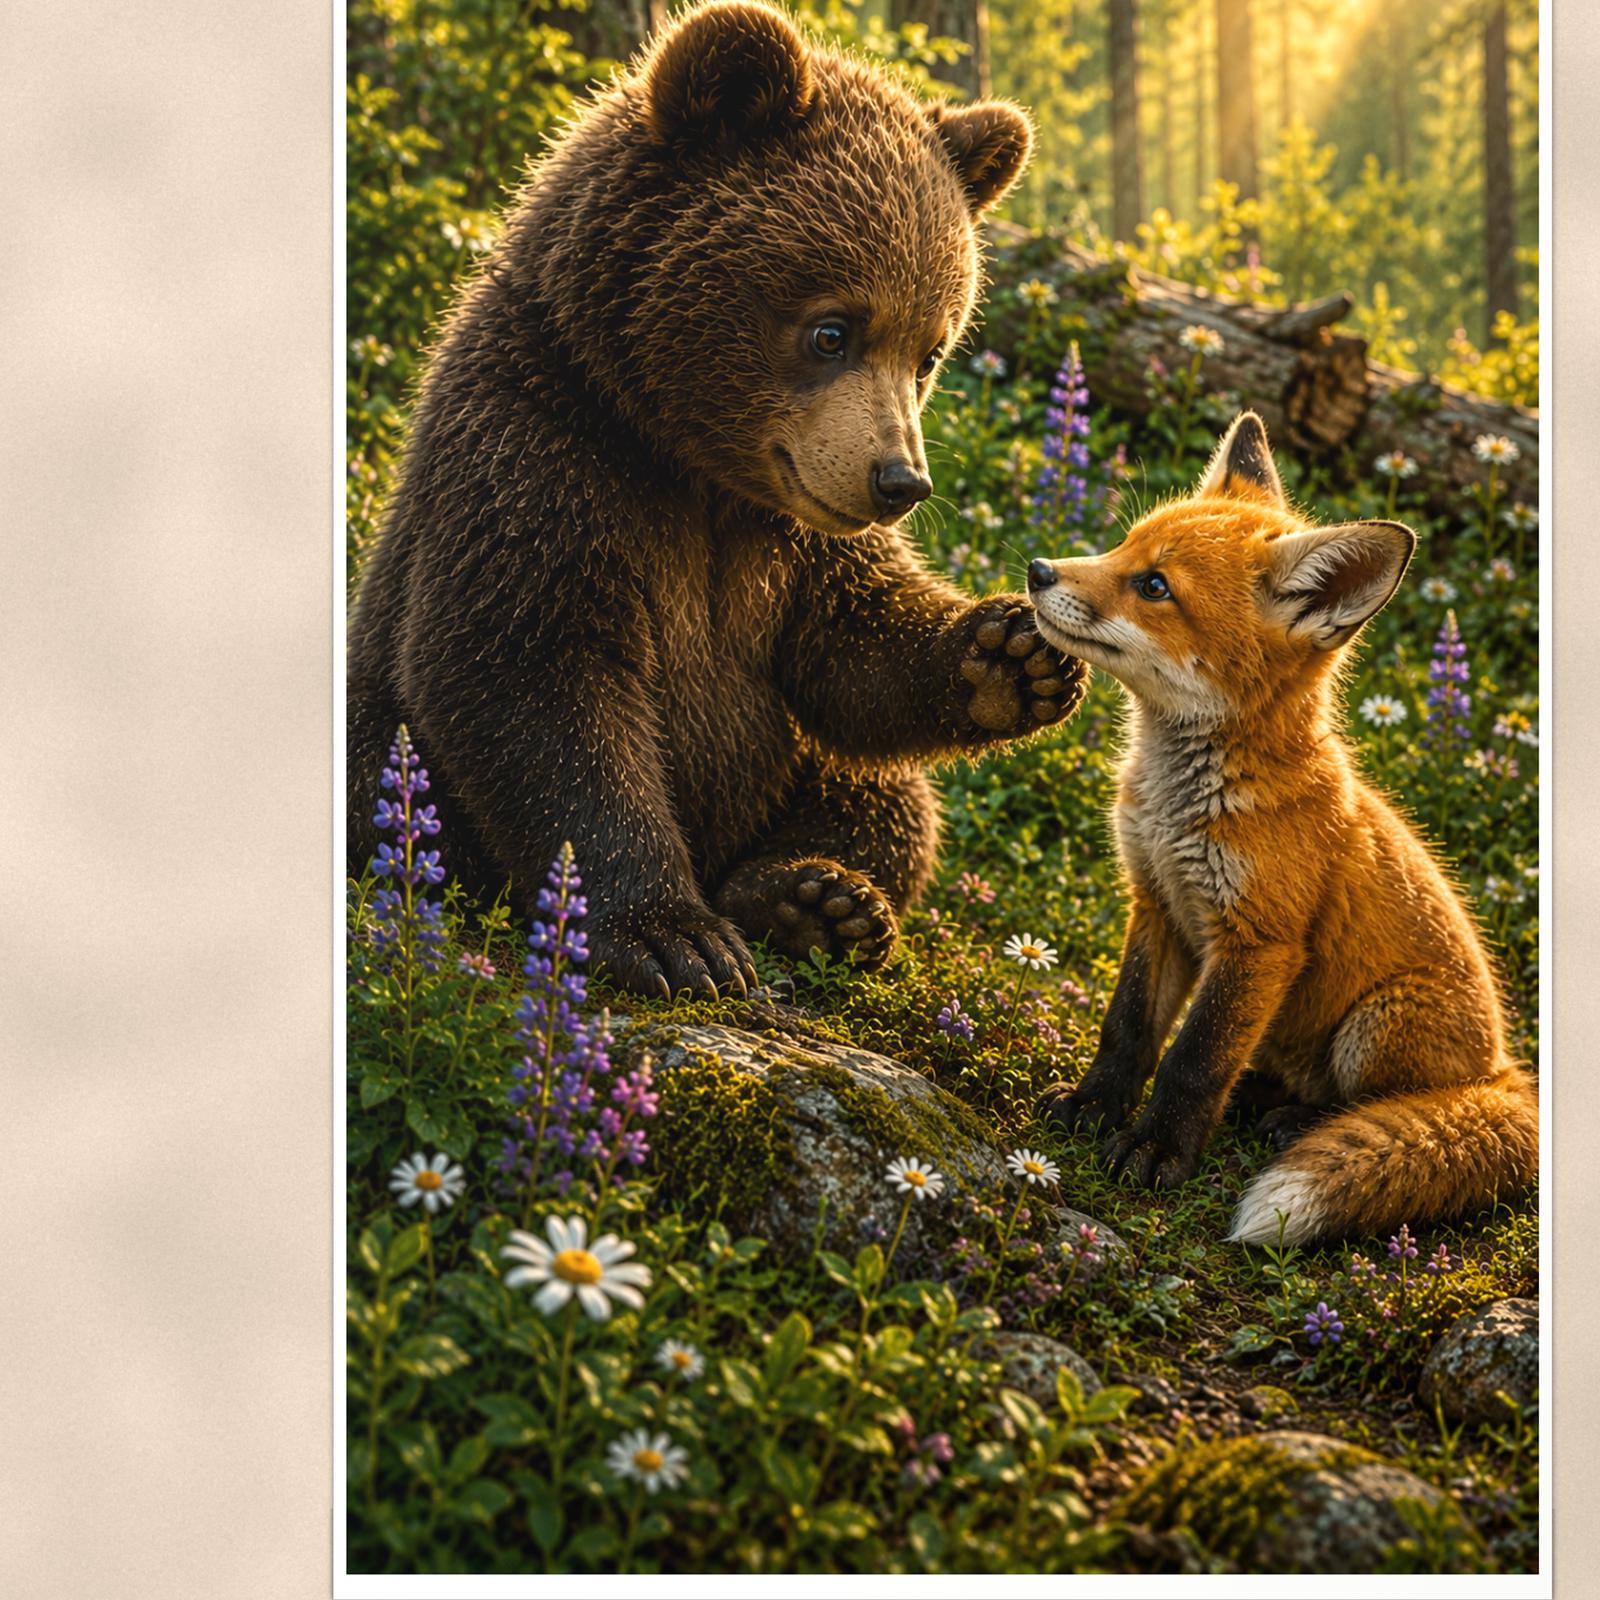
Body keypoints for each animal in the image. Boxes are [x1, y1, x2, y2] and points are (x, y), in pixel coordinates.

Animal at [347, 0, 1085, 999]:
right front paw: (670, 936)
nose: (899, 481)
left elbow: (853, 646)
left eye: (931, 349)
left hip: (793, 766)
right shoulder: (539, 458)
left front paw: (1009, 657)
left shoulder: (785, 534)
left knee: (889, 802)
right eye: (831, 329)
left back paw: (814, 897)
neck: (685, 455)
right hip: (377, 744)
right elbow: (531, 681)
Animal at [1027, 412, 1537, 1247]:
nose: (1038, 570)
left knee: (1377, 1105)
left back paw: (1294, 1121)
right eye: (1123, 546)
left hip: (1375, 1023)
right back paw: (1260, 1096)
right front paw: (1094, 1106)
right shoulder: (1157, 902)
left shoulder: (1259, 942)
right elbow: (1128, 1029)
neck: (1183, 807)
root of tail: (1505, 1076)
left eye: (1155, 586)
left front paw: (1156, 1149)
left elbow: (1193, 1059)